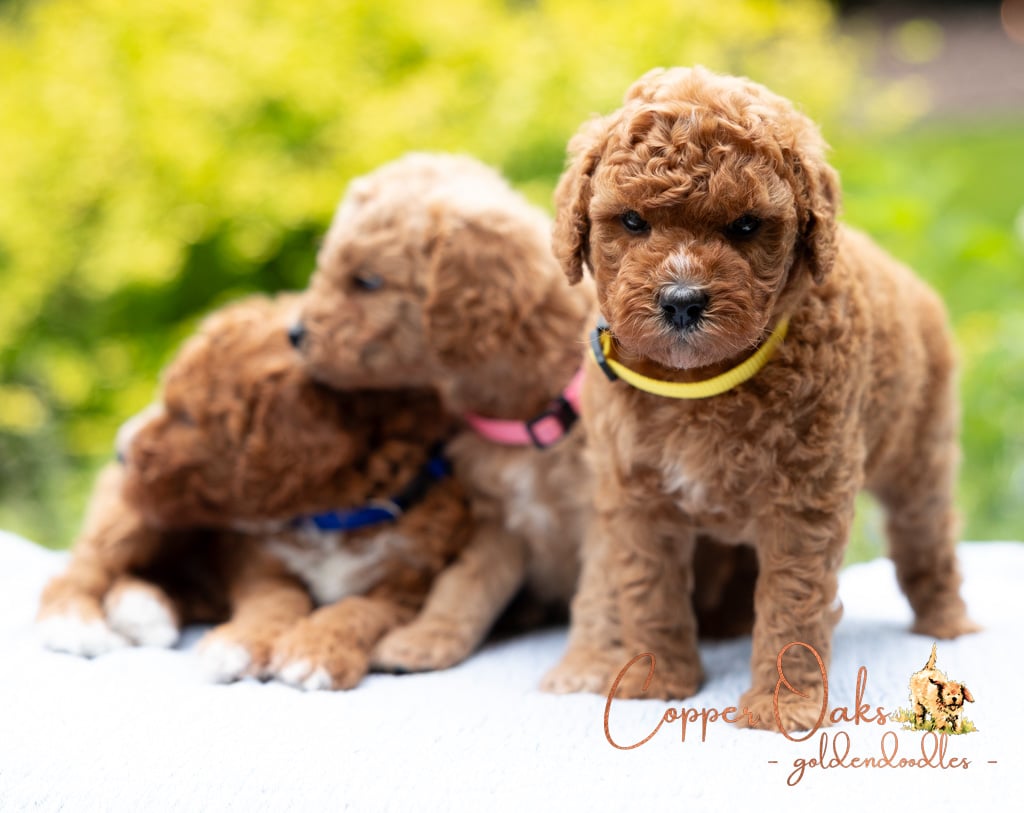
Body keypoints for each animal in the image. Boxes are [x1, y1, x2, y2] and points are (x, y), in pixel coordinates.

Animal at [39, 294, 470, 690]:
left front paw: (314, 653)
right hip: (136, 515)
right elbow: (275, 602)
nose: (119, 451)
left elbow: (355, 609)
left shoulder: (408, 587)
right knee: (85, 567)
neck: (332, 516)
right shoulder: (259, 563)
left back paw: (143, 610)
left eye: (186, 417)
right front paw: (239, 645)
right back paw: (75, 624)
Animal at [543, 66, 978, 732]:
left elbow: (792, 601)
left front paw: (784, 706)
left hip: (920, 449)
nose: (681, 300)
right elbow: (648, 587)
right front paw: (658, 682)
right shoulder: (636, 493)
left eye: (746, 226)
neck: (697, 383)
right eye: (634, 222)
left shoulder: (805, 498)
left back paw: (948, 623)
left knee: (924, 533)